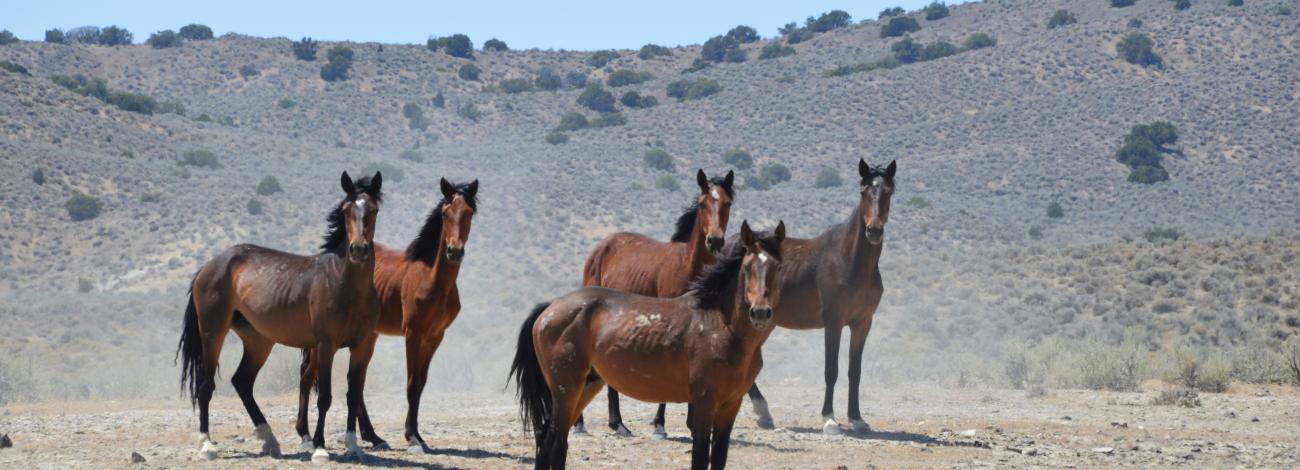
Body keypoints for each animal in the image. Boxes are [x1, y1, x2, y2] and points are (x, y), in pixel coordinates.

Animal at [176, 171, 384, 463]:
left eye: (374, 210)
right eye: (345, 210)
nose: (358, 250)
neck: (345, 284)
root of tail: (209, 266)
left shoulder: (363, 346)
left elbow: (353, 394)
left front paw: (353, 446)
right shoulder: (326, 345)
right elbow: (325, 397)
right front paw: (320, 448)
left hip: (258, 341)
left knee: (242, 382)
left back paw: (270, 440)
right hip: (213, 334)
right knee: (206, 386)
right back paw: (207, 446)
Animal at [295, 178, 479, 453]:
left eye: (469, 213)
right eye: (445, 214)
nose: (454, 251)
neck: (430, 279)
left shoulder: (435, 337)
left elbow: (420, 385)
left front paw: (418, 435)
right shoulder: (412, 334)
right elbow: (412, 385)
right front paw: (413, 438)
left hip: (369, 337)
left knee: (356, 384)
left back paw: (373, 437)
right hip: (325, 343)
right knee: (308, 377)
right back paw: (306, 435)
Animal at [511, 221, 786, 470]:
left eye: (778, 266)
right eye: (747, 267)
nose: (760, 312)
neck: (718, 324)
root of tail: (549, 308)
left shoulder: (731, 404)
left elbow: (718, 459)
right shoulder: (704, 403)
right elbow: (699, 458)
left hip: (586, 386)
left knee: (546, 438)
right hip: (565, 390)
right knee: (556, 442)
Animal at [575, 169, 734, 438]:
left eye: (727, 203)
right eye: (703, 204)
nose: (715, 241)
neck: (687, 267)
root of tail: (601, 246)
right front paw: (660, 425)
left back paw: (616, 423)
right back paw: (591, 424)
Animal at [744, 159, 896, 435]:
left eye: (888, 191)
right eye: (864, 191)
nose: (874, 230)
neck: (849, 260)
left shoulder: (862, 323)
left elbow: (854, 370)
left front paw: (857, 419)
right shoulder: (833, 322)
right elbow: (831, 369)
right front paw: (829, 419)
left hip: (763, 321)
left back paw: (764, 414)